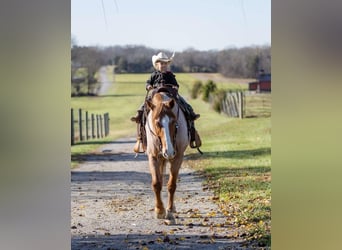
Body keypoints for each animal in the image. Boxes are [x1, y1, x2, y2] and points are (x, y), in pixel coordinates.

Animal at [143, 87, 188, 223]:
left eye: (174, 122)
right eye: (157, 123)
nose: (169, 151)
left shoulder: (178, 157)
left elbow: (171, 185)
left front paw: (169, 211)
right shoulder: (153, 157)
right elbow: (157, 183)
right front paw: (159, 210)